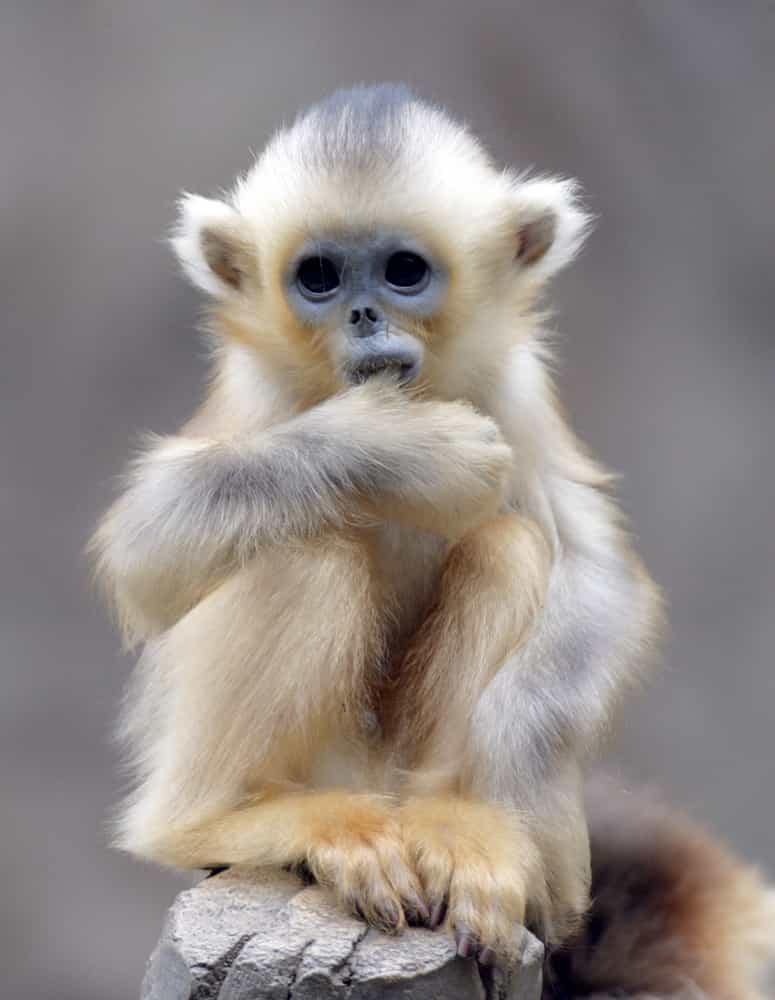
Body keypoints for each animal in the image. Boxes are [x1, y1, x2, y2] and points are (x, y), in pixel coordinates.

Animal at [92, 85, 775, 993]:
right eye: (318, 277)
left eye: (403, 270)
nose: (363, 313)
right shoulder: (258, 388)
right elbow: (147, 545)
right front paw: (394, 447)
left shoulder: (514, 383)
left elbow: (598, 570)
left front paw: (514, 788)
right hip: (308, 760)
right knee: (304, 544)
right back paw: (237, 818)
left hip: (399, 773)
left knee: (507, 544)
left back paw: (460, 824)